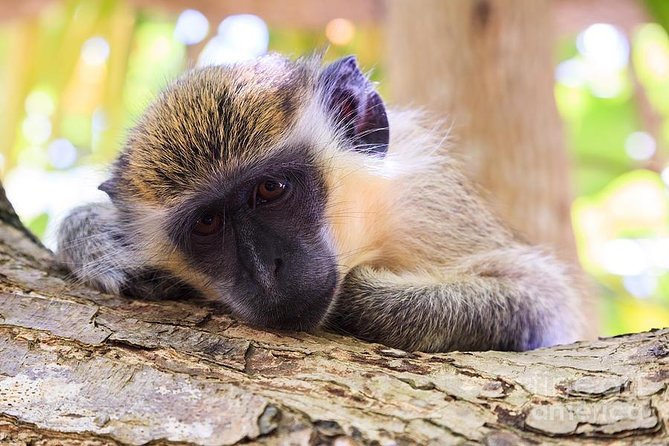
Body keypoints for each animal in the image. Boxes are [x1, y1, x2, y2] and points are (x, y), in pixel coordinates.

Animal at [56, 54, 584, 353]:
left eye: (271, 190)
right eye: (207, 222)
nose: (265, 270)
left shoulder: (433, 208)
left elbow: (542, 299)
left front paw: (360, 295)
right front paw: (94, 236)